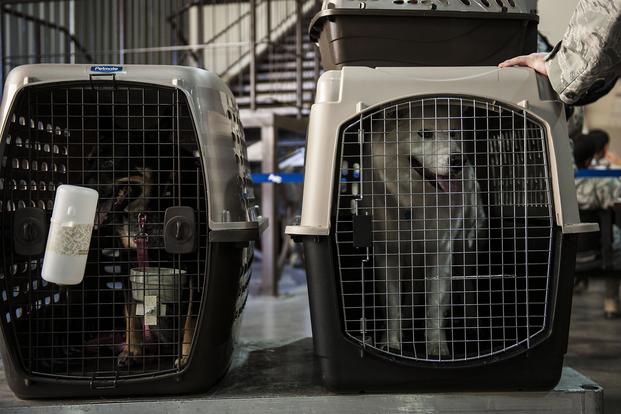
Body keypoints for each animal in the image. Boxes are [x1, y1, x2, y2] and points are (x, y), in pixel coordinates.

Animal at [87, 142, 197, 368]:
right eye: (88, 162)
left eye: (109, 162)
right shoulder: (128, 261)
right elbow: (131, 312)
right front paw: (132, 351)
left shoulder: (194, 266)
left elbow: (192, 317)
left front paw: (186, 357)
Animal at [364, 102, 490, 358]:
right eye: (425, 133)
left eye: (453, 134)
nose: (458, 160)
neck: (416, 201)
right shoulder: (387, 255)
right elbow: (392, 305)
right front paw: (391, 343)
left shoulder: (441, 253)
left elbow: (435, 305)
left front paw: (437, 347)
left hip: (466, 247)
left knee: (467, 285)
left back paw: (471, 322)